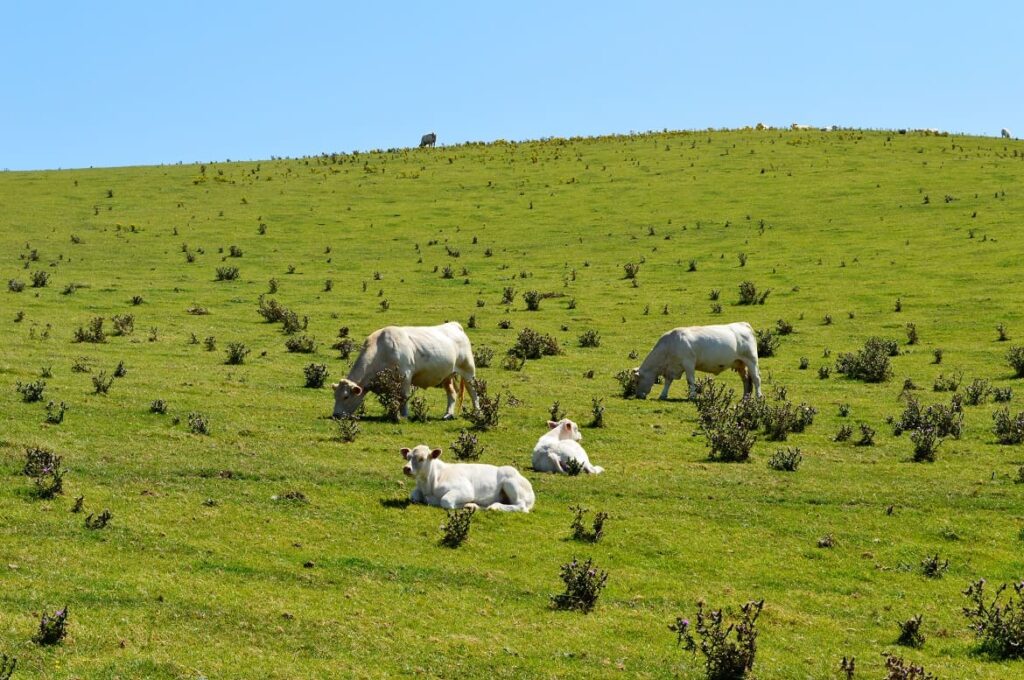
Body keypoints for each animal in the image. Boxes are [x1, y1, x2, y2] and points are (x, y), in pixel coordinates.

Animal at [335, 323, 479, 419]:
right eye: (335, 396)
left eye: (346, 396)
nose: (335, 415)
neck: (381, 350)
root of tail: (455, 325)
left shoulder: (405, 375)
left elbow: (403, 397)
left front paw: (404, 416)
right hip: (446, 376)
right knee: (452, 393)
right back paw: (448, 414)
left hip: (468, 370)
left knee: (473, 392)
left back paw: (477, 412)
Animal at [399, 446, 536, 510]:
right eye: (408, 457)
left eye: (421, 458)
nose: (406, 468)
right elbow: (414, 496)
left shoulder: (465, 490)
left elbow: (446, 501)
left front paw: (470, 505)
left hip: (510, 482)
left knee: (521, 506)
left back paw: (494, 507)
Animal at [630, 323, 761, 399]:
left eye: (636, 381)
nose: (638, 395)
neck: (670, 345)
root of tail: (743, 324)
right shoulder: (671, 368)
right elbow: (668, 381)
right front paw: (663, 394)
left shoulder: (688, 363)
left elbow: (690, 381)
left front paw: (692, 396)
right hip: (740, 363)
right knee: (746, 380)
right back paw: (745, 398)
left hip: (751, 360)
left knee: (756, 379)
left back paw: (759, 397)